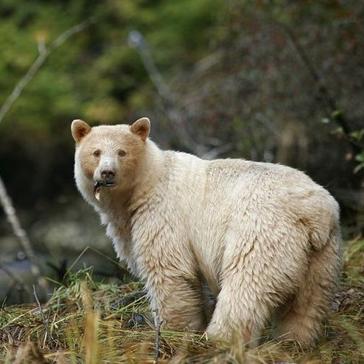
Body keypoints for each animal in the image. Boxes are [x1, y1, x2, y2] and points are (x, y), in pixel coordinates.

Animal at [70, 118, 342, 346]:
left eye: (122, 152)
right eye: (96, 152)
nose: (107, 172)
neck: (145, 185)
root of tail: (315, 212)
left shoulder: (163, 214)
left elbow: (169, 271)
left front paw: (172, 331)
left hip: (262, 231)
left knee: (247, 285)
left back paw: (219, 338)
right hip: (321, 252)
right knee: (308, 300)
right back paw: (293, 340)